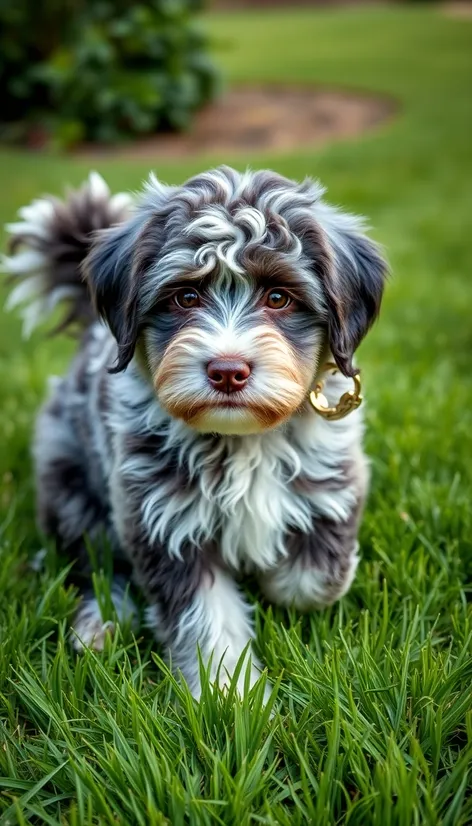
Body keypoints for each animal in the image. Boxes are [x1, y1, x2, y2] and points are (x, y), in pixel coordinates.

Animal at [3, 167, 388, 696]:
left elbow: (314, 581)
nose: (227, 370)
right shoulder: (162, 519)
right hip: (73, 488)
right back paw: (100, 626)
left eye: (278, 297)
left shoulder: (333, 481)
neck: (242, 440)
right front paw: (230, 696)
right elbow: (207, 618)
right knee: (93, 565)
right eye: (185, 296)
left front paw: (272, 583)